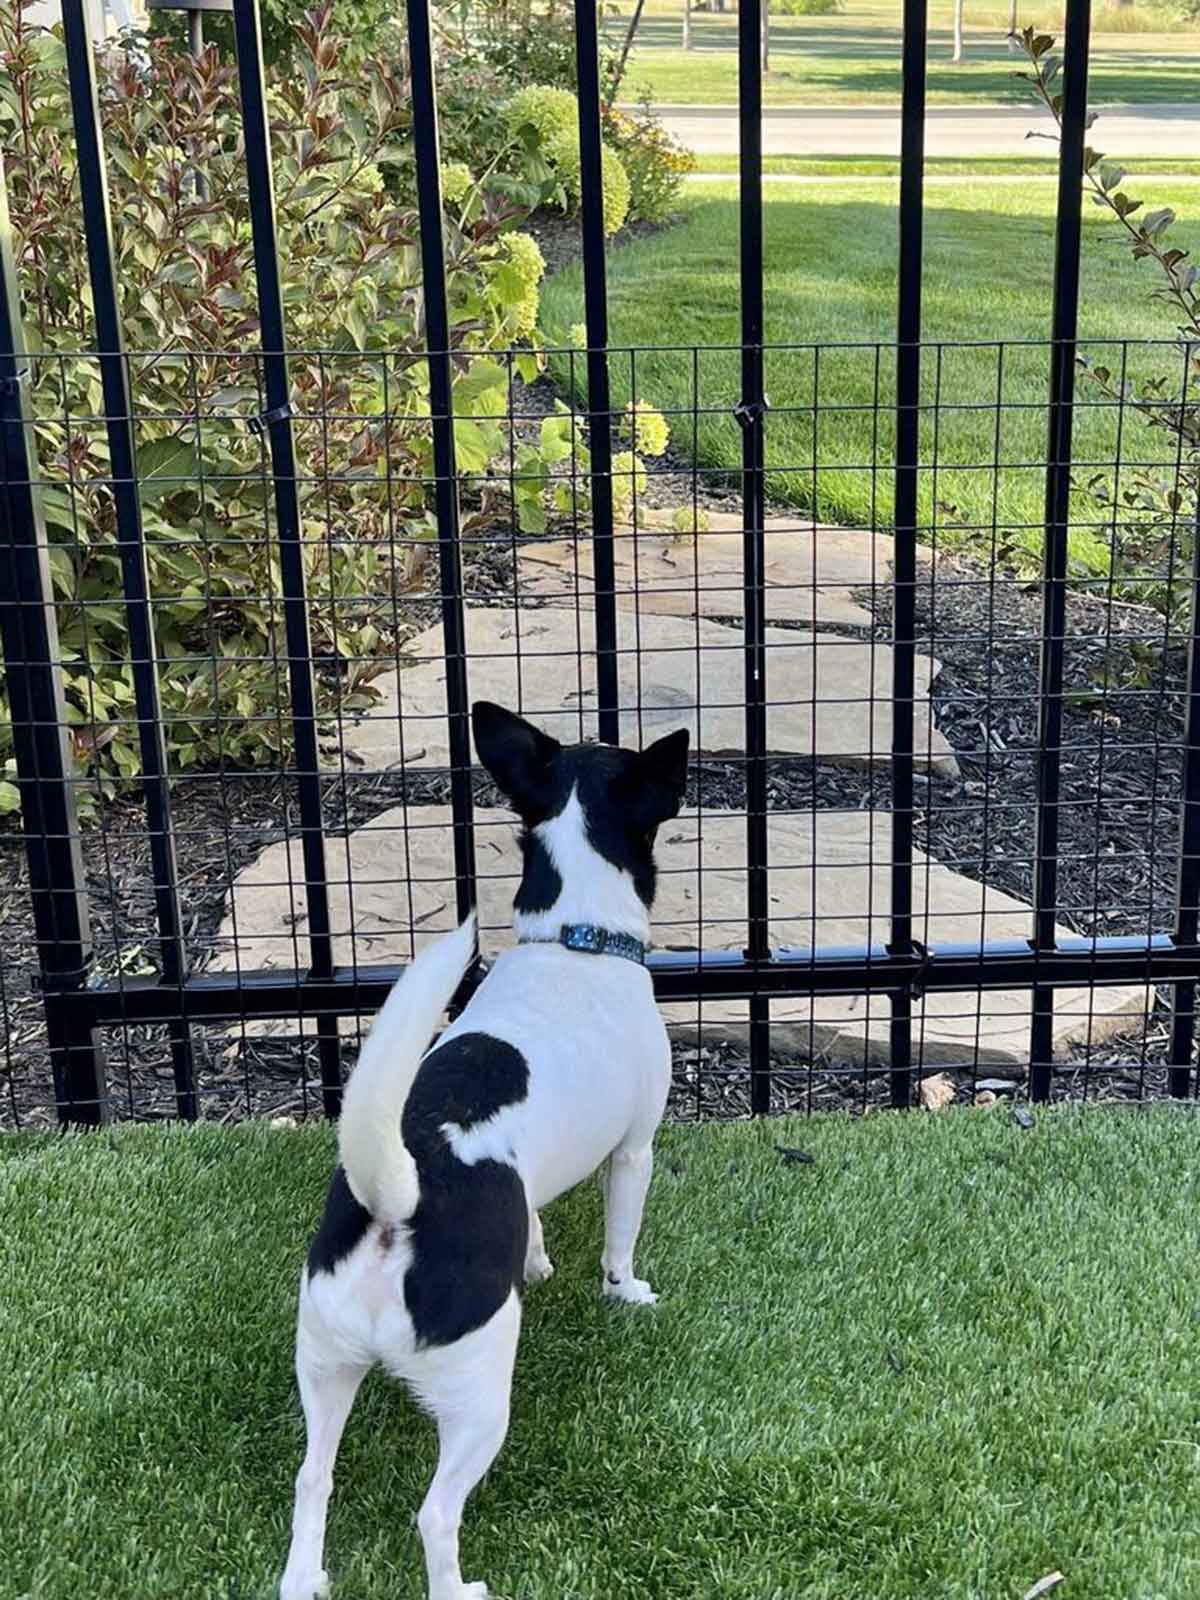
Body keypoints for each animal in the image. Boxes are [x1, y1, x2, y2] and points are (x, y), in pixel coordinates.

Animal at [281, 700, 691, 1600]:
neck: (574, 942)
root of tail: (399, 1200)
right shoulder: (635, 1152)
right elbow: (619, 1241)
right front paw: (627, 1292)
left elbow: (531, 1218)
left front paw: (534, 1260)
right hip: (478, 1396)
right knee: (436, 1515)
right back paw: (457, 1586)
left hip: (323, 1364)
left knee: (312, 1478)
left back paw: (304, 1577)